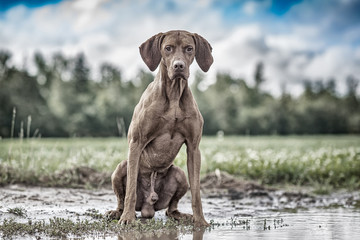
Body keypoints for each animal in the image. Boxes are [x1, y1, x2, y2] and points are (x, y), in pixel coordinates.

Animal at [107, 30, 214, 227]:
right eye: (168, 48)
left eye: (189, 48)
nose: (179, 66)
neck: (174, 95)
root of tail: (148, 206)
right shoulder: (136, 143)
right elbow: (130, 190)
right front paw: (127, 219)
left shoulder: (194, 148)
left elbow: (196, 192)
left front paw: (200, 221)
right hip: (120, 168)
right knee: (121, 198)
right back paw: (118, 213)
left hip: (180, 174)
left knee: (170, 209)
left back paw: (181, 215)